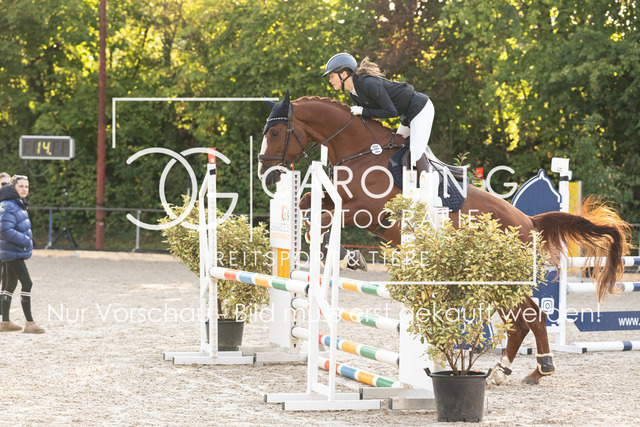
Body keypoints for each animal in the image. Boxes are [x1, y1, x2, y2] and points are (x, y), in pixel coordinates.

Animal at [257, 92, 630, 385]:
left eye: (274, 131)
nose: (266, 172)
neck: (361, 152)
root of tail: (528, 221)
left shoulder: (368, 211)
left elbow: (320, 218)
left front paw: (342, 254)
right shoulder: (339, 200)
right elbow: (308, 207)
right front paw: (343, 255)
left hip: (502, 279)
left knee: (530, 318)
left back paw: (535, 368)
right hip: (493, 283)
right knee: (520, 322)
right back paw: (515, 371)